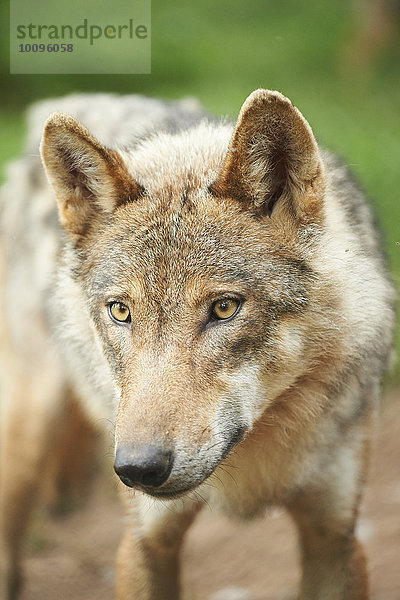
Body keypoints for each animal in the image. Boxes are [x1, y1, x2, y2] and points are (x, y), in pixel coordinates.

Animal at [0, 86, 394, 596]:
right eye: (121, 311)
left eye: (224, 308)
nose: (137, 469)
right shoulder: (147, 541)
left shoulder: (334, 537)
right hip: (27, 432)